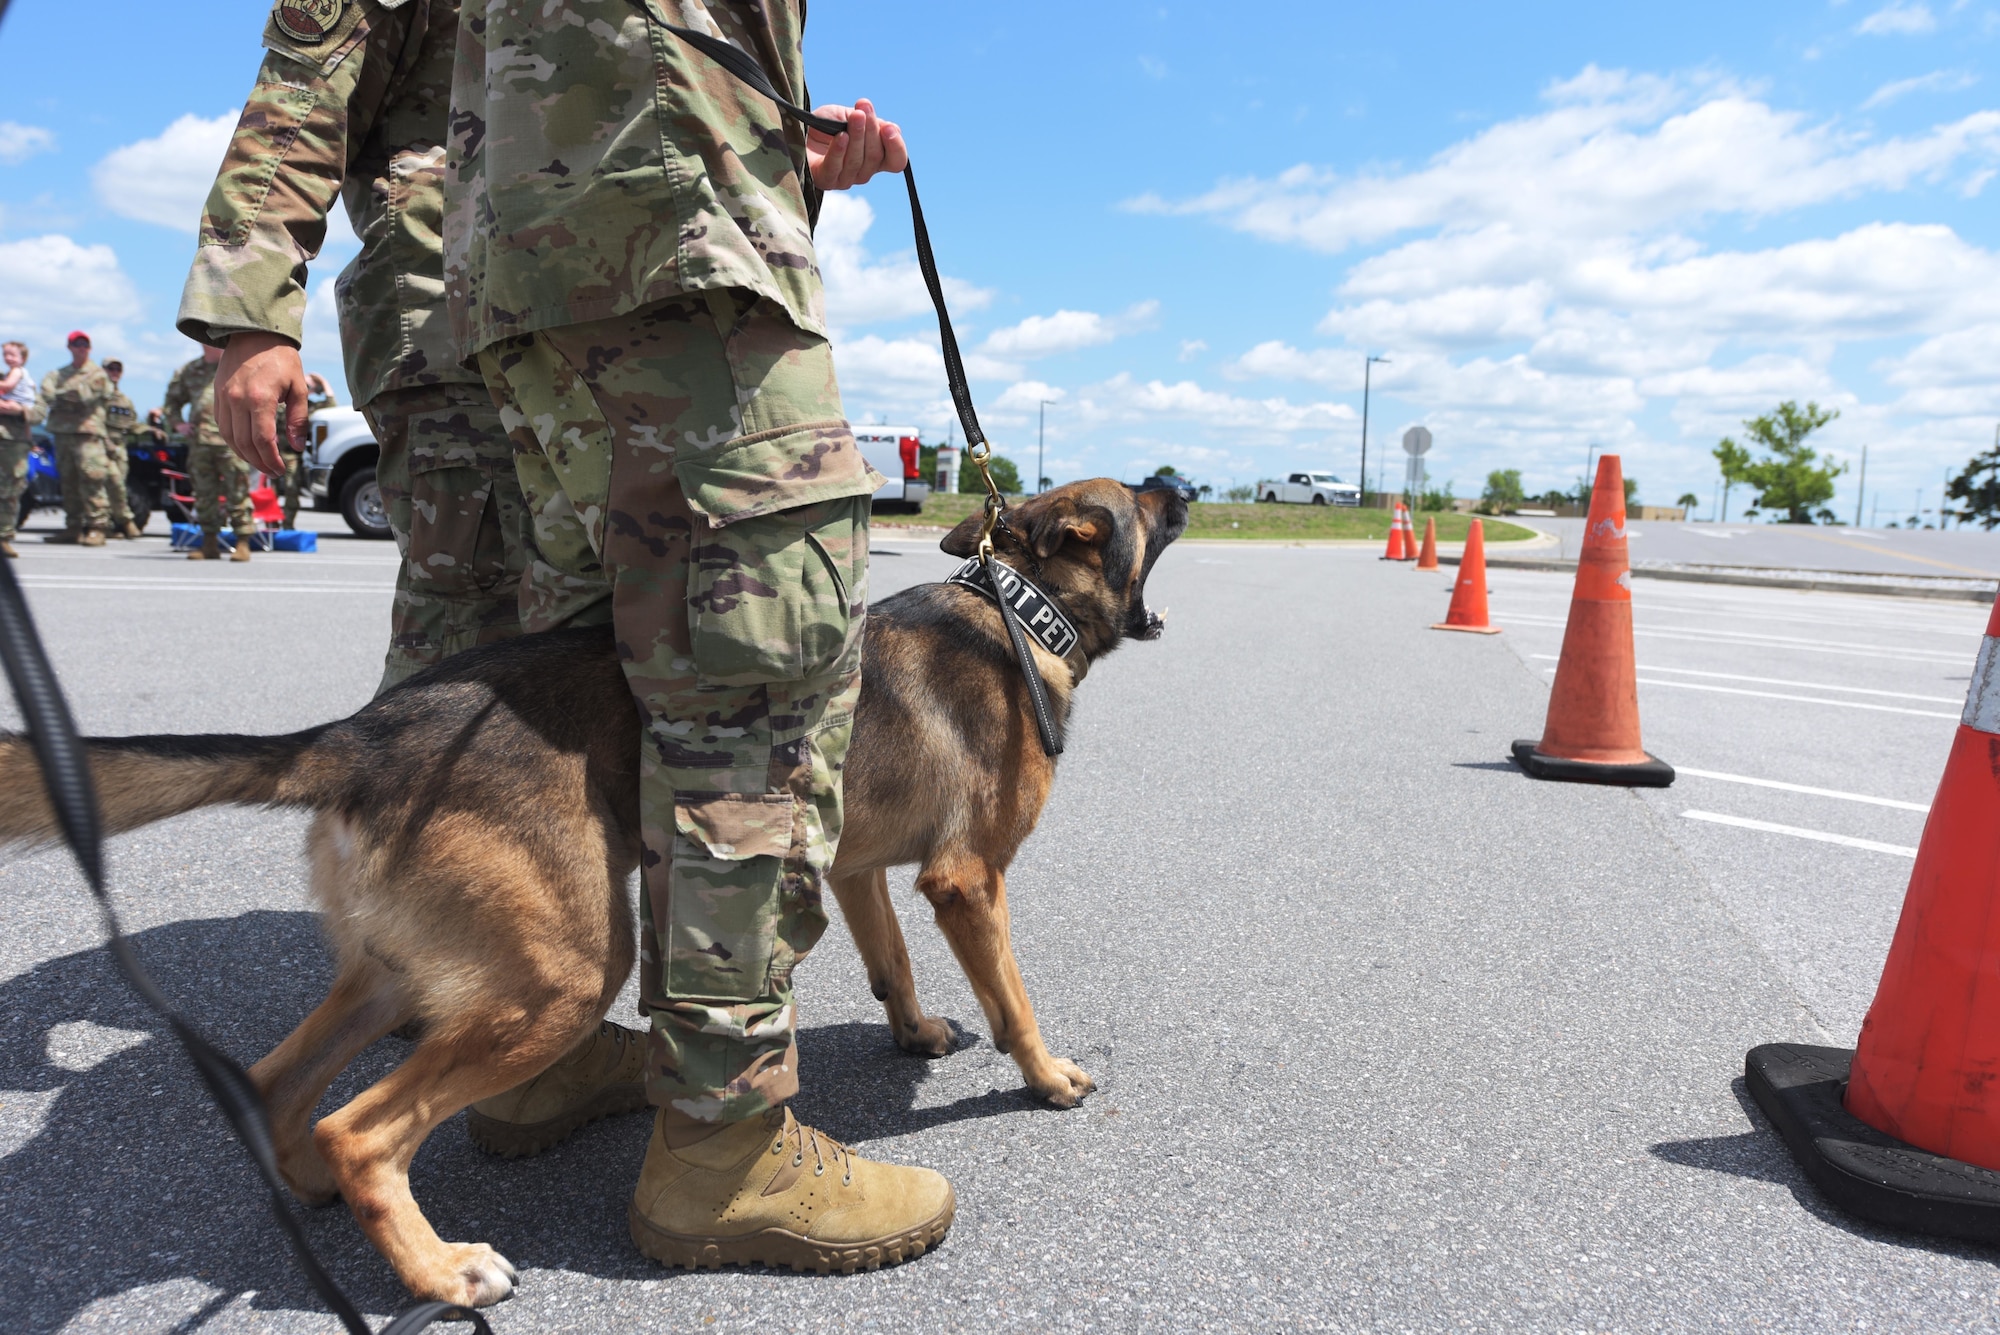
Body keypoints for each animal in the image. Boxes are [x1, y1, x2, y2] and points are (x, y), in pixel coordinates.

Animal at [0, 477, 1184, 1303]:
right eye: (1135, 503)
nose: (1180, 479)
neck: (1019, 608)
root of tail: (362, 735)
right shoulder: (967, 881)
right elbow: (1013, 998)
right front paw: (1046, 1076)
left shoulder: (852, 870)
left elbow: (892, 962)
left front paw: (919, 1030)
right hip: (562, 973)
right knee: (362, 1129)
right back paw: (438, 1270)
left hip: (397, 972)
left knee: (276, 1082)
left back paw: (323, 1196)